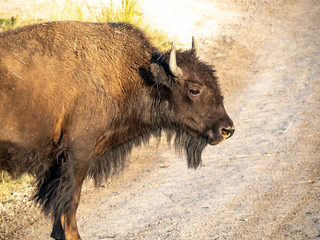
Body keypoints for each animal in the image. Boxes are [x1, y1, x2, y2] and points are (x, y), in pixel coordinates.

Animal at [0, 21, 235, 239]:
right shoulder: (78, 153)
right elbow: (71, 199)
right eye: (194, 90)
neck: (131, 75)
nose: (227, 129)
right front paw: (73, 235)